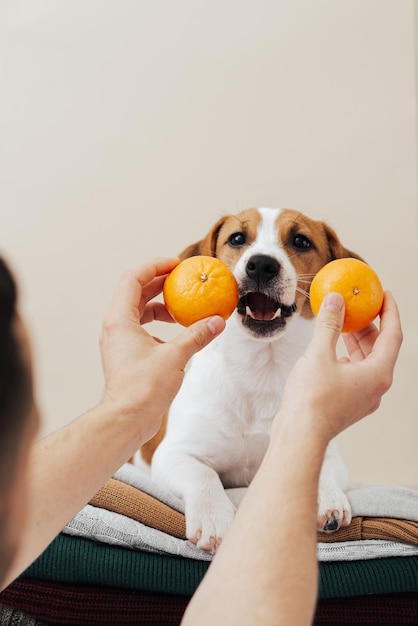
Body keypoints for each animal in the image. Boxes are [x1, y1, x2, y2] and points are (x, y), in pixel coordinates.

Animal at [146, 207, 360, 548]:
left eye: (301, 241)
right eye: (237, 238)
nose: (261, 264)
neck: (261, 369)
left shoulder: (326, 451)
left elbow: (319, 465)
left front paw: (326, 496)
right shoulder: (173, 453)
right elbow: (203, 475)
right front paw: (214, 517)